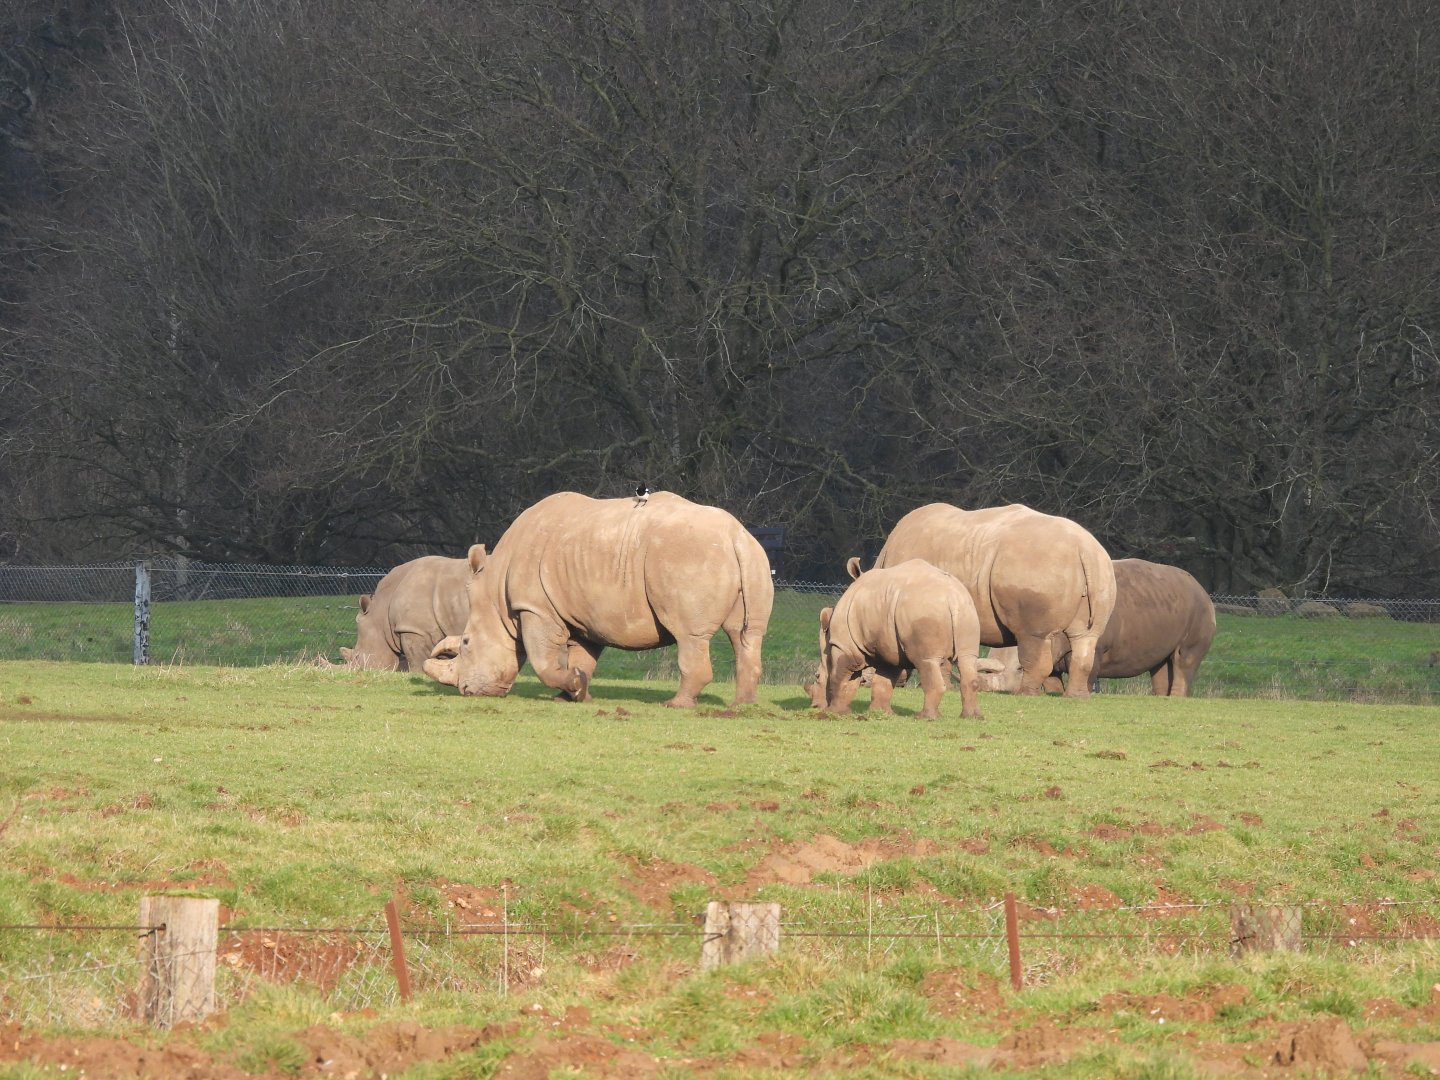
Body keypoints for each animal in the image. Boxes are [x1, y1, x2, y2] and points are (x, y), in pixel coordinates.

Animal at [423, 491, 773, 707]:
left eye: (466, 643)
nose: (469, 692)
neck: (496, 592)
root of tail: (735, 536)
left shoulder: (534, 608)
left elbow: (543, 661)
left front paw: (572, 687)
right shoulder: (583, 614)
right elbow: (582, 658)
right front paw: (573, 693)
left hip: (688, 555)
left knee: (689, 636)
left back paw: (675, 704)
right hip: (752, 557)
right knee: (746, 636)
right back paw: (743, 706)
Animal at [805, 559, 982, 720]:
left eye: (817, 676)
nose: (814, 706)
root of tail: (951, 597)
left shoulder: (844, 647)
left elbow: (841, 677)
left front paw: (834, 713)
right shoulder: (888, 649)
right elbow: (883, 681)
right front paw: (880, 713)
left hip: (922, 610)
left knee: (926, 661)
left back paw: (924, 718)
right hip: (967, 610)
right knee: (967, 660)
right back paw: (971, 717)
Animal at [867, 503, 1117, 697]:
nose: (866, 680)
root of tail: (1084, 549)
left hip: (1037, 566)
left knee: (1033, 636)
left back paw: (1024, 694)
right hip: (1100, 570)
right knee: (1085, 637)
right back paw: (1076, 697)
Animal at [976, 558, 1216, 696]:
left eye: (1019, 669)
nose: (988, 690)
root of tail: (1203, 589)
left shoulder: (1094, 645)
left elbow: (1086, 671)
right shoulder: (1049, 646)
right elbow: (1052, 680)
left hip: (1200, 610)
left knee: (1183, 660)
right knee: (1160, 664)